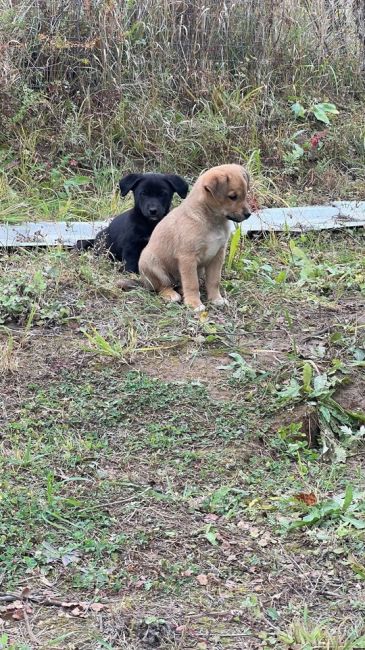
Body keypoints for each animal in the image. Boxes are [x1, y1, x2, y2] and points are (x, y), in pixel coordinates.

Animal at [139, 165, 250, 312]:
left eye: (245, 194)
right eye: (232, 197)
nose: (248, 214)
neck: (212, 220)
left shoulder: (217, 255)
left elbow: (214, 281)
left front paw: (216, 299)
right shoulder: (188, 258)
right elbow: (192, 284)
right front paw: (194, 304)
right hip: (150, 263)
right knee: (161, 286)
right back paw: (171, 294)